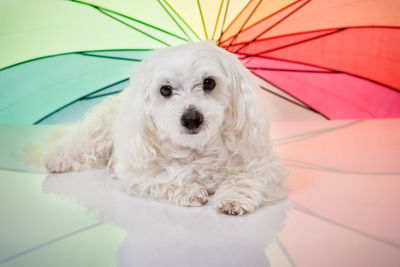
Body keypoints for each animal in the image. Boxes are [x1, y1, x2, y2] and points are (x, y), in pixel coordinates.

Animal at [44, 41, 288, 216]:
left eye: (209, 82)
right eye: (165, 89)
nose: (191, 119)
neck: (197, 149)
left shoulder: (264, 165)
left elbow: (245, 177)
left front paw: (233, 198)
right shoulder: (140, 172)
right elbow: (166, 175)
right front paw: (189, 190)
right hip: (102, 130)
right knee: (81, 144)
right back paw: (57, 160)